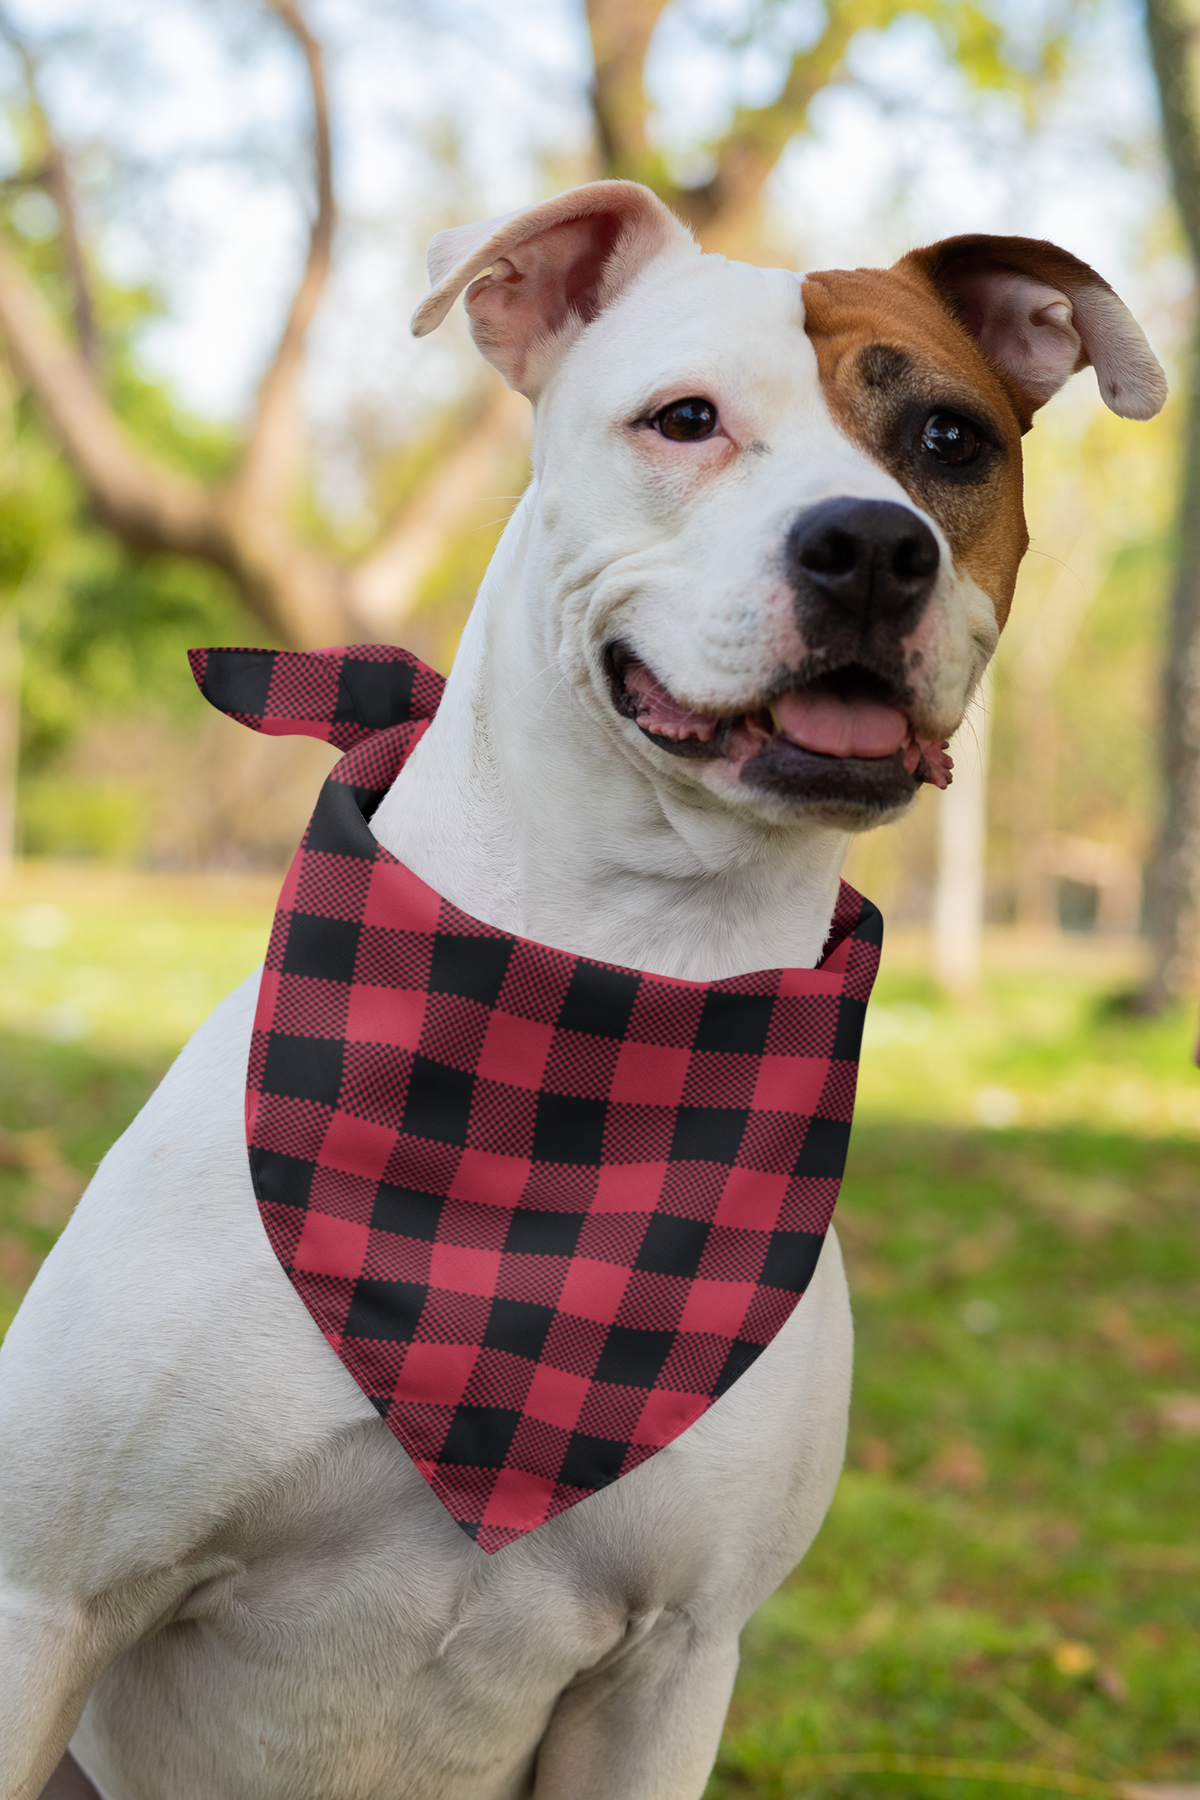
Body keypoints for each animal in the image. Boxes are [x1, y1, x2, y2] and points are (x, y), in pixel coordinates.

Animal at [0, 179, 1165, 1800]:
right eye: (684, 419)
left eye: (949, 439)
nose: (874, 545)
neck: (606, 998)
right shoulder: (50, 1598)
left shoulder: (673, 1662)